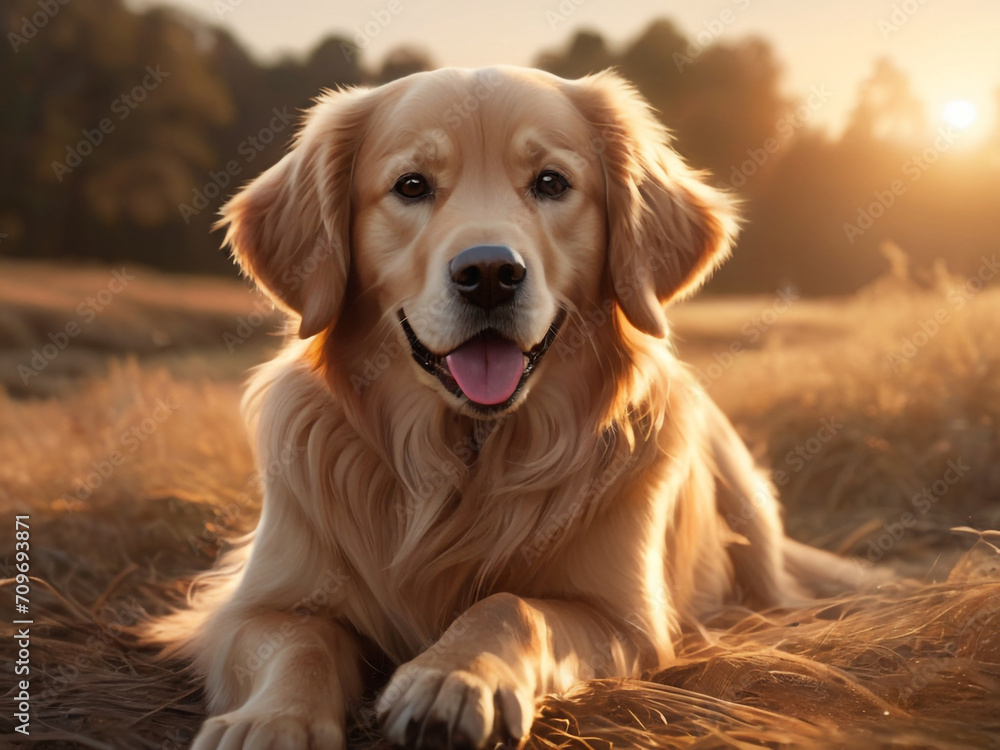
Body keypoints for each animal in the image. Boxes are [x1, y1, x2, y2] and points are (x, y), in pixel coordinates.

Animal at [160, 66, 864, 750]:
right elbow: (300, 642)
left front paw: (451, 678)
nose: (490, 273)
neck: (467, 454)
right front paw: (270, 721)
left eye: (551, 182)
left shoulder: (624, 617)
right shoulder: (249, 604)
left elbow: (510, 604)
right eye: (411, 186)